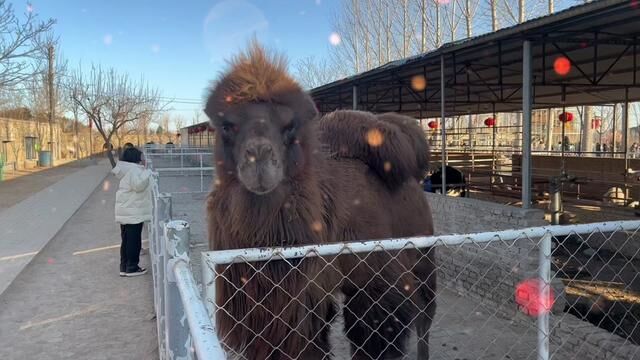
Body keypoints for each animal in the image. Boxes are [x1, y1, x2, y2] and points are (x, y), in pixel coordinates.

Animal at [205, 43, 436, 360]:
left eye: (290, 125)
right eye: (227, 125)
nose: (259, 158)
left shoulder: (376, 284)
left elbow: (375, 337)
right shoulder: (283, 309)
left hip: (424, 255)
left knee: (425, 314)